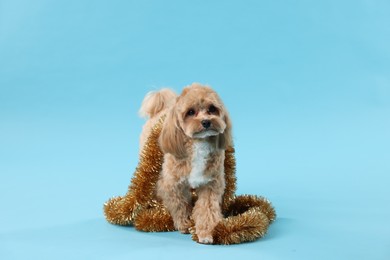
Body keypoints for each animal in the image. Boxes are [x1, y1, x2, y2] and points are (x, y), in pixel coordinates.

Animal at [139, 83, 233, 244]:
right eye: (190, 112)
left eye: (212, 109)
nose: (206, 122)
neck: (198, 144)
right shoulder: (173, 184)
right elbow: (179, 204)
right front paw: (184, 223)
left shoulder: (210, 184)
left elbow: (207, 209)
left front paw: (206, 232)